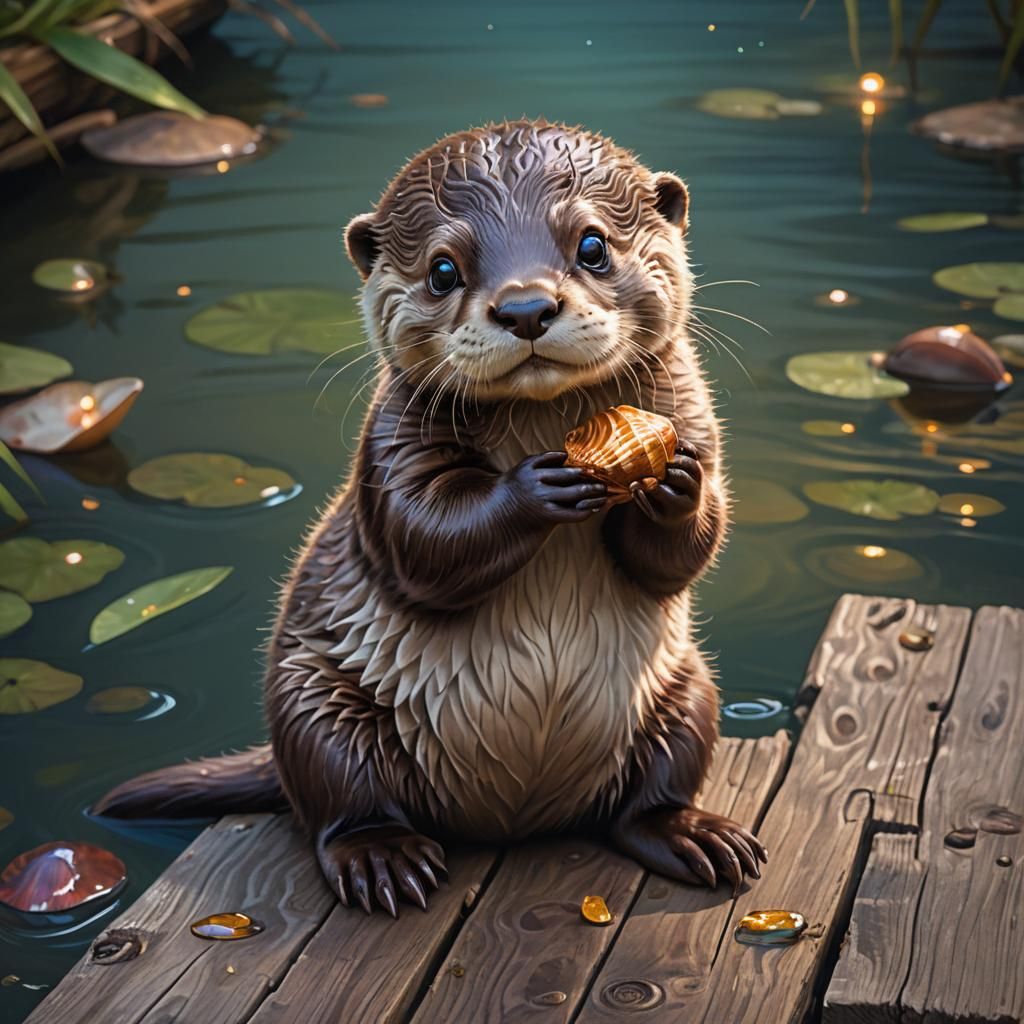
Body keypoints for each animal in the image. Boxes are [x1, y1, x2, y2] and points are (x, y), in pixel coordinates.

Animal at [95, 119, 766, 916]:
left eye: (593, 245)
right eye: (444, 270)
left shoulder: (693, 410)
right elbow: (422, 544)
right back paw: (383, 860)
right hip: (315, 703)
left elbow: (679, 558)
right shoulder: (390, 446)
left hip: (685, 691)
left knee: (647, 798)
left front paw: (678, 485)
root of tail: (517, 820)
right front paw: (538, 487)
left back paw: (693, 837)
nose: (525, 309)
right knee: (336, 805)